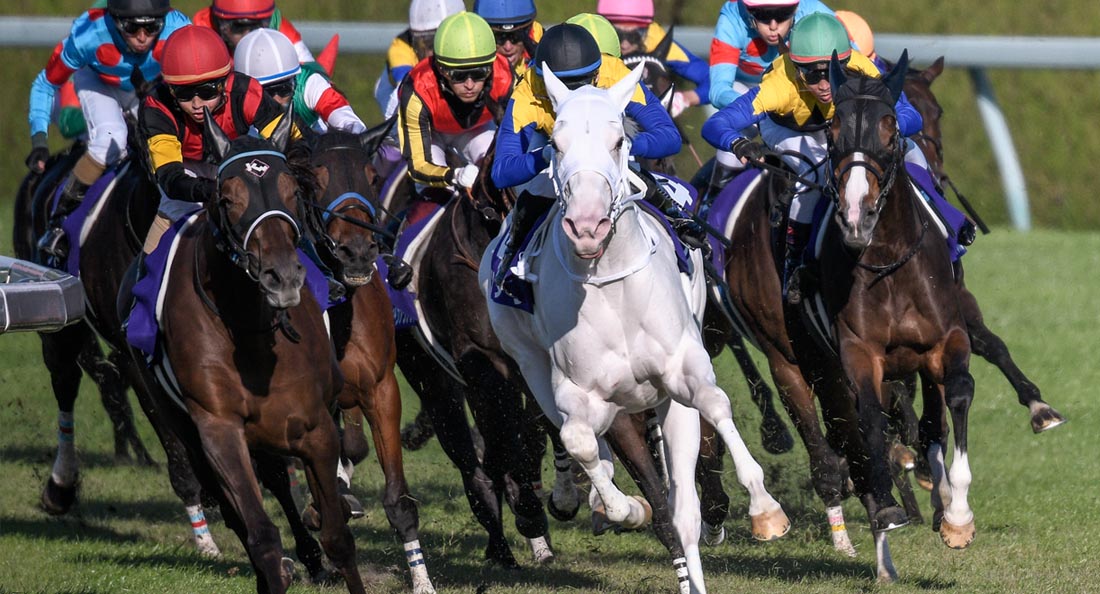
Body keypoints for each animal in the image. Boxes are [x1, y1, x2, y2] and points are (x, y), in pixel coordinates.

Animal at [135, 112, 363, 594]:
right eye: (228, 198)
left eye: (292, 190)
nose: (282, 276)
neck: (253, 332)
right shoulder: (218, 429)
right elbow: (260, 536)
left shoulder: (315, 427)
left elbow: (338, 535)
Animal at [292, 126, 437, 594]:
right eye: (313, 180)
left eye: (373, 177)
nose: (356, 251)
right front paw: (324, 506)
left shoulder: (380, 389)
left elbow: (398, 499)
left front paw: (422, 582)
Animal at [481, 62, 792, 589]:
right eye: (555, 145)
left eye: (619, 142)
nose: (587, 227)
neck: (609, 286)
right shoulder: (579, 392)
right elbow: (581, 443)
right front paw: (623, 507)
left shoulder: (683, 370)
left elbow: (715, 404)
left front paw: (765, 508)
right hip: (530, 363)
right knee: (581, 439)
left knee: (684, 504)